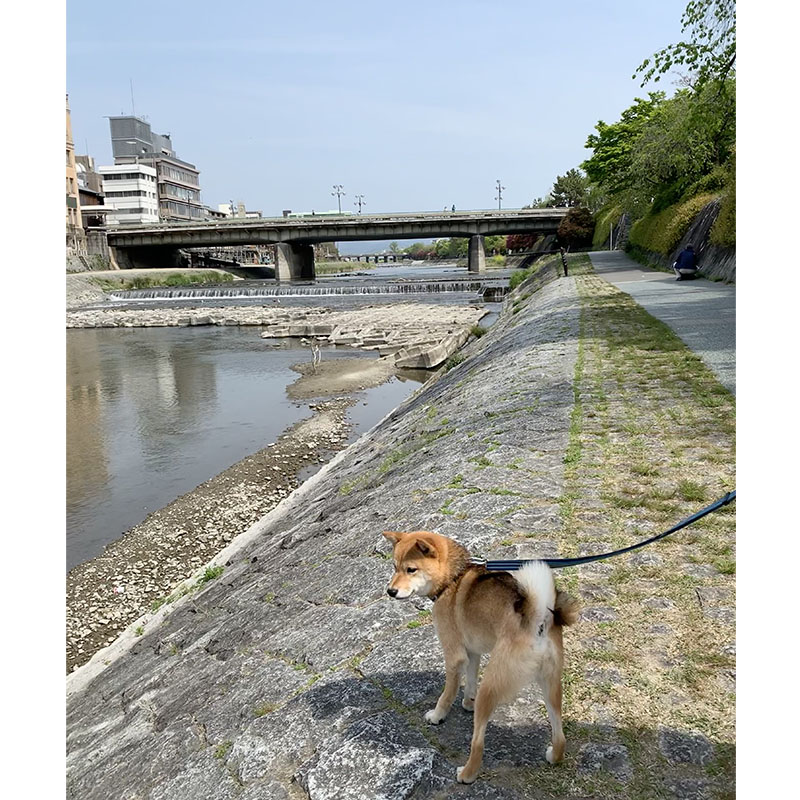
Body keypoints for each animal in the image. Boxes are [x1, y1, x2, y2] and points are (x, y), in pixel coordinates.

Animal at [384, 528, 580, 784]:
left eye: (411, 569)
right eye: (394, 566)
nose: (390, 591)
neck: (453, 579)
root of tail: (537, 619)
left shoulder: (454, 655)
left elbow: (448, 693)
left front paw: (438, 715)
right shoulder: (472, 652)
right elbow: (469, 680)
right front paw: (468, 702)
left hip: (492, 684)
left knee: (478, 743)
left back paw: (467, 773)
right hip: (551, 686)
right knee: (560, 735)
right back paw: (554, 755)